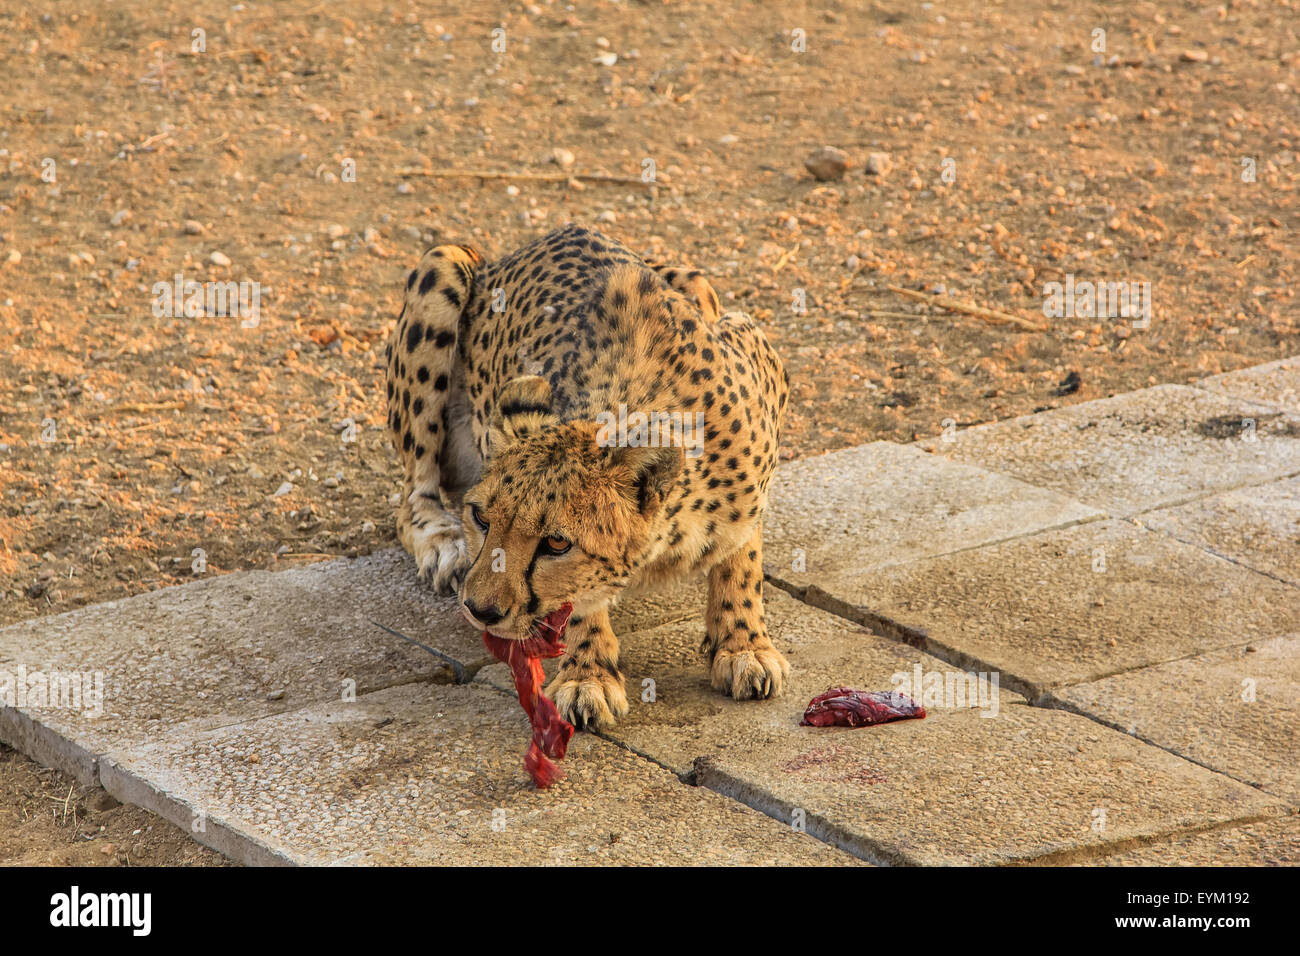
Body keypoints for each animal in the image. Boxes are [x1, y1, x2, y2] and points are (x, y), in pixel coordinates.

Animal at [384, 226, 790, 733]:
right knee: (412, 495)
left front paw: (743, 644)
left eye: (557, 543)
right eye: (480, 518)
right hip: (443, 264)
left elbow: (742, 552)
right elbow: (579, 601)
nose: (479, 610)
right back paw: (442, 544)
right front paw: (588, 674)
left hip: (698, 283)